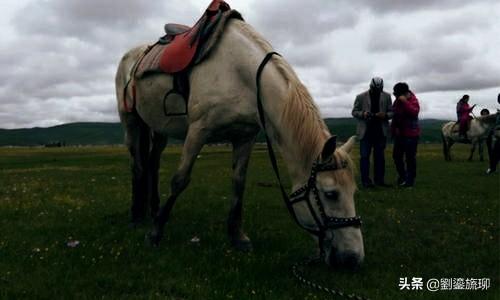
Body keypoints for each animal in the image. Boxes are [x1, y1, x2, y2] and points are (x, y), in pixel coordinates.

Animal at [114, 19, 364, 268]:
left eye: (353, 191)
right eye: (331, 194)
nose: (353, 257)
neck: (241, 73)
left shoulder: (245, 137)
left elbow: (239, 183)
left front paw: (237, 236)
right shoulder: (198, 131)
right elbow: (179, 180)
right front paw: (155, 234)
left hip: (159, 129)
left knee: (153, 164)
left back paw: (154, 209)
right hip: (131, 120)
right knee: (138, 165)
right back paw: (137, 216)